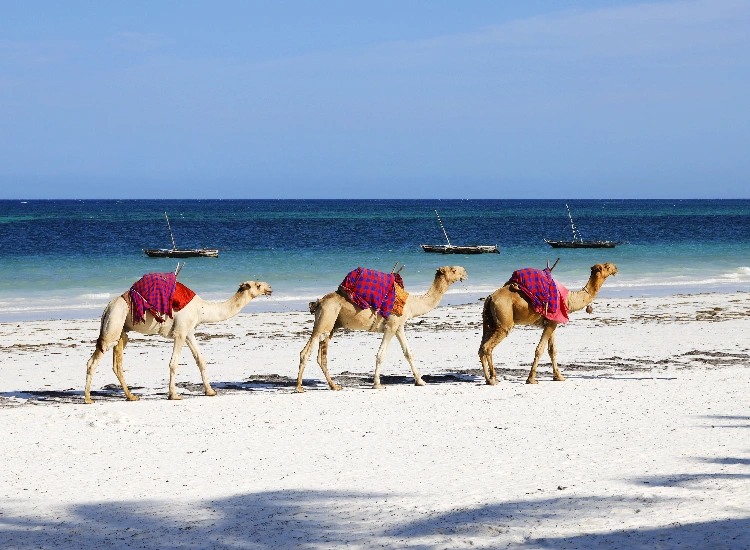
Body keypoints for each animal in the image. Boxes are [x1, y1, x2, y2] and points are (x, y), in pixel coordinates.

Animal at [84, 280, 272, 403]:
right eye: (257, 285)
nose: (270, 287)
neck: (201, 309)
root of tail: (108, 307)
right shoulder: (180, 332)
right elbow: (174, 363)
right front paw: (173, 395)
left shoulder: (189, 332)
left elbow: (201, 360)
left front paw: (210, 391)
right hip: (114, 325)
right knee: (93, 361)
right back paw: (88, 398)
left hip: (122, 331)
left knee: (117, 364)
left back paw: (131, 396)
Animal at [297, 266, 468, 392]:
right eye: (453, 270)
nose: (465, 272)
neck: (411, 304)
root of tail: (319, 302)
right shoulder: (391, 326)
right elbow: (381, 354)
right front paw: (377, 384)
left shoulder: (399, 327)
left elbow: (408, 353)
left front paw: (420, 381)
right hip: (325, 319)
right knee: (306, 351)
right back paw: (299, 387)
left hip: (332, 324)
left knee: (321, 356)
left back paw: (334, 386)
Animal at [479, 263, 618, 385]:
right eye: (606, 266)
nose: (615, 267)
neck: (569, 300)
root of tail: (490, 298)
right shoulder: (551, 323)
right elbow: (539, 349)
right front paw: (531, 379)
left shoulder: (552, 322)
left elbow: (552, 350)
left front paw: (559, 377)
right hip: (504, 321)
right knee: (487, 347)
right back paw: (492, 379)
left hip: (488, 323)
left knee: (481, 348)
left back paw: (489, 379)